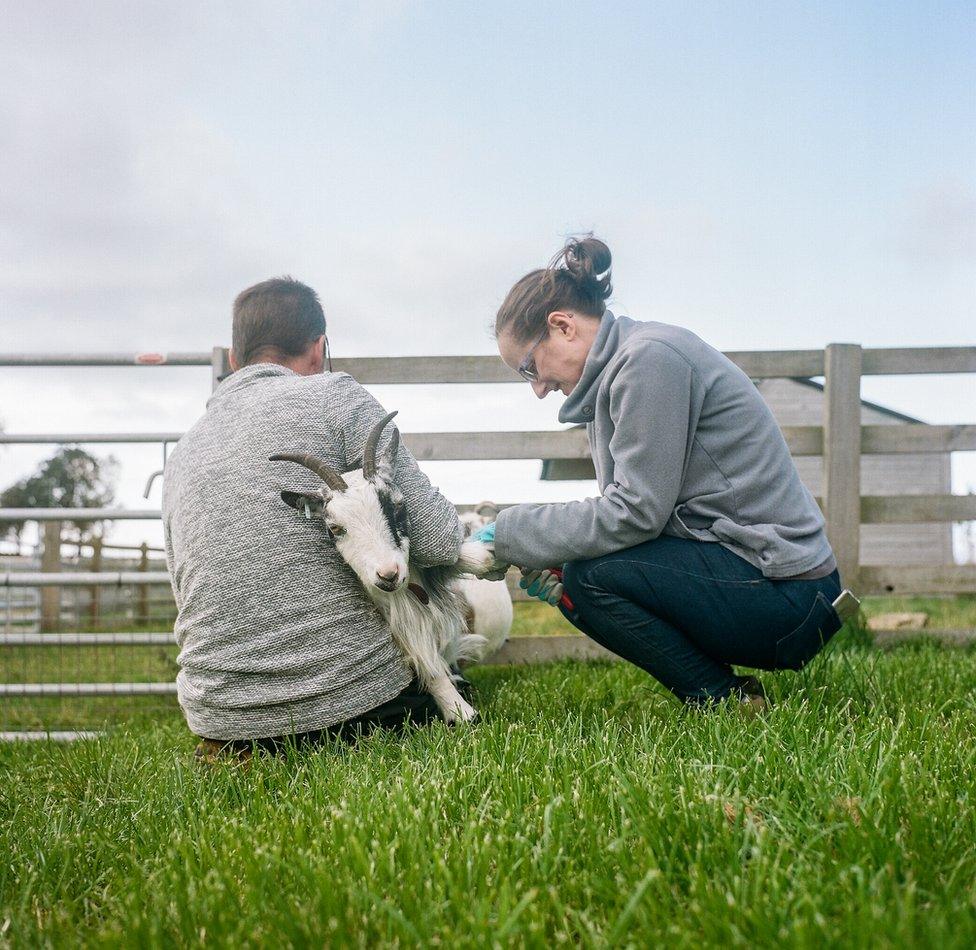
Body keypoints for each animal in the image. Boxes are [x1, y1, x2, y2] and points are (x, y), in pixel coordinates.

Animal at [270, 412, 496, 724]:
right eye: (335, 528)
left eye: (398, 507)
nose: (388, 574)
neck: (406, 591)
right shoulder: (393, 618)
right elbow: (425, 660)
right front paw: (460, 712)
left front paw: (490, 554)